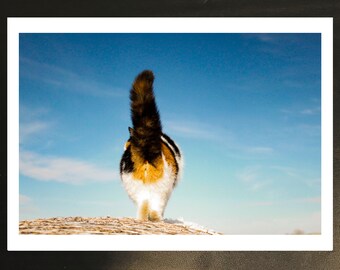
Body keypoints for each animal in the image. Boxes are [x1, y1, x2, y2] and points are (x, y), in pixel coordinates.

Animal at [120, 69, 183, 221]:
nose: (124, 146)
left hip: (137, 189)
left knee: (143, 210)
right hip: (163, 191)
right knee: (155, 211)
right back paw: (159, 220)